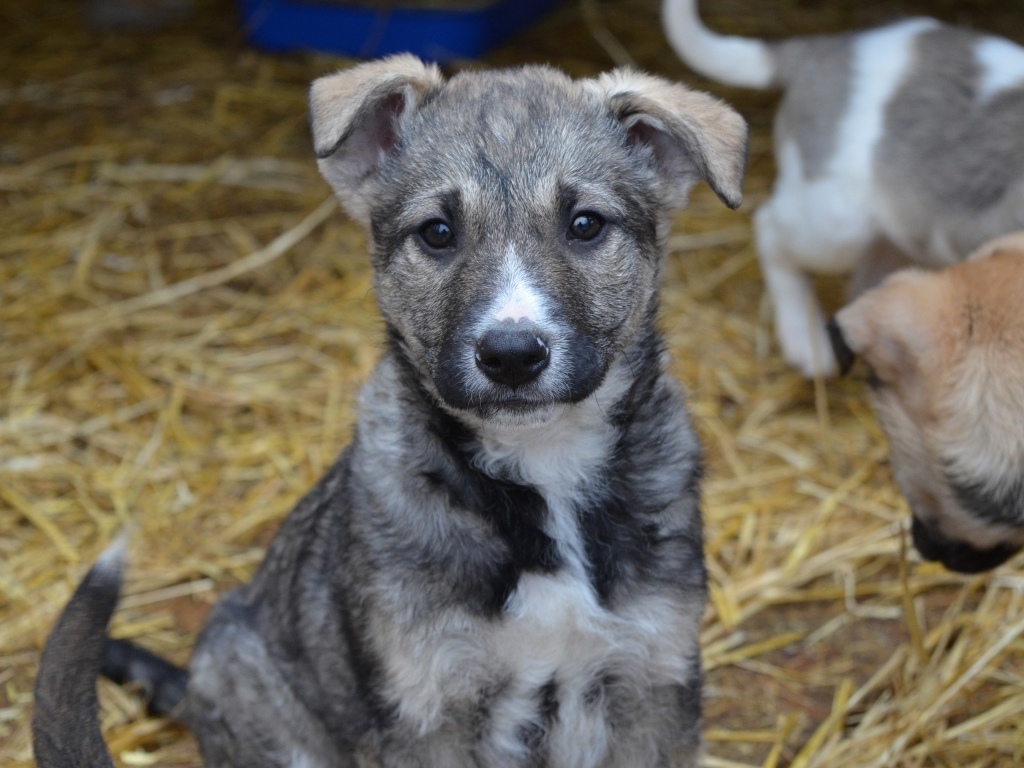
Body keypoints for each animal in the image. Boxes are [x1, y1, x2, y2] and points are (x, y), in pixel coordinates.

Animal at [36, 55, 749, 768]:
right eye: (437, 233)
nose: (512, 355)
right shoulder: (424, 706)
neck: (544, 466)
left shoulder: (652, 682)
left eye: (585, 224)